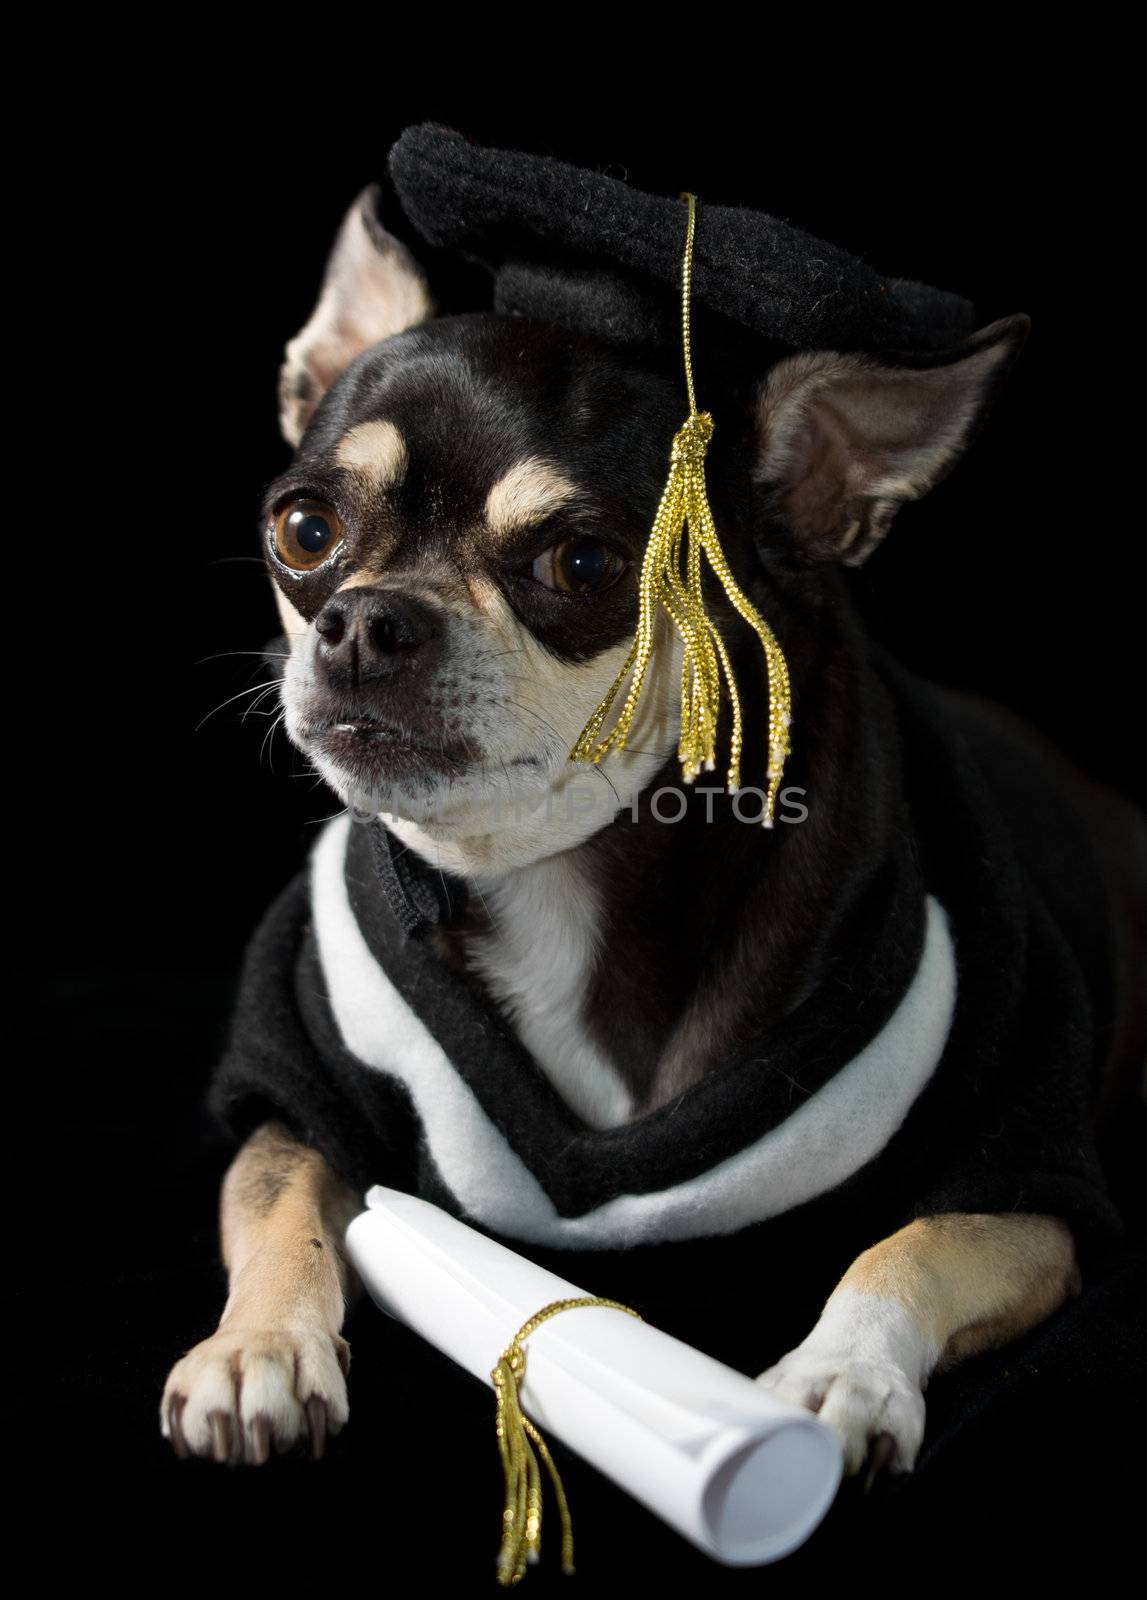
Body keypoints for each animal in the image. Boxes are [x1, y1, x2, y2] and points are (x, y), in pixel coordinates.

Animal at [159, 159, 1139, 1472]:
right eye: (304, 529)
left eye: (581, 565)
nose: (363, 621)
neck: (562, 871)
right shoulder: (296, 1087)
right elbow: (280, 1204)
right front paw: (256, 1346)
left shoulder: (1022, 1168)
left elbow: (909, 1244)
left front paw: (838, 1371)